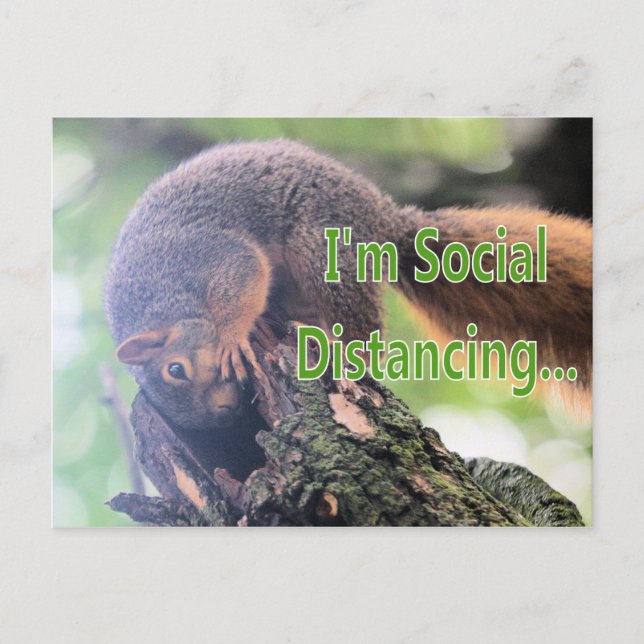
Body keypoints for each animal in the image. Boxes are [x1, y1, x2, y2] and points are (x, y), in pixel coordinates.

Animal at [104, 139, 592, 433]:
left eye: (176, 370)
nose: (225, 415)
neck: (165, 302)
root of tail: (382, 216)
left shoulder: (211, 256)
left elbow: (243, 280)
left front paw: (231, 339)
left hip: (324, 242)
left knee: (362, 325)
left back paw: (347, 353)